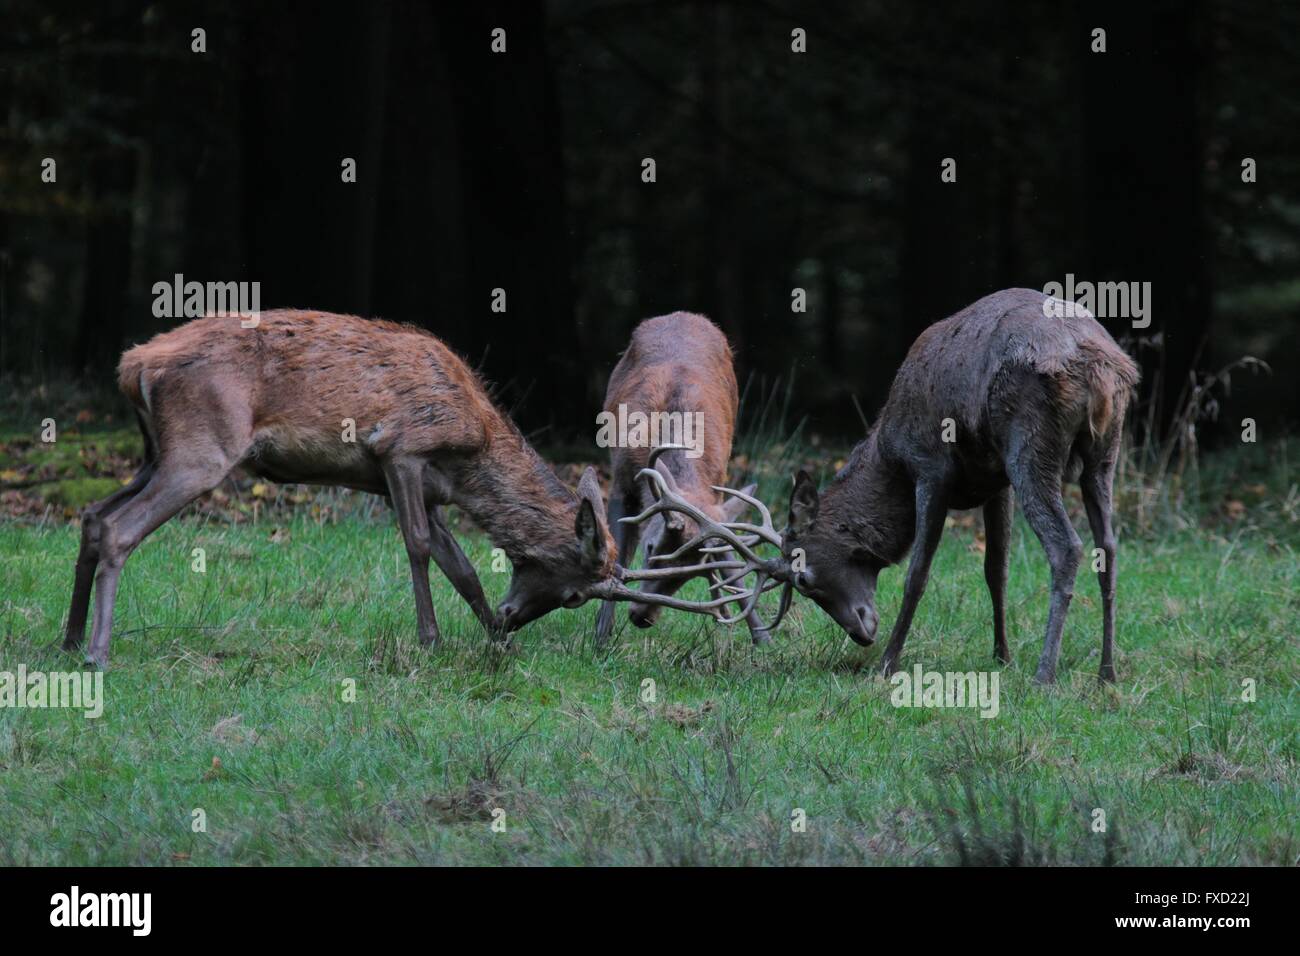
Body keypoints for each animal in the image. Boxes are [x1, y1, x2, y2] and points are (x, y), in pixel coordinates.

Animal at [63, 310, 621, 671]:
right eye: (575, 596)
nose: (509, 622)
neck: (473, 448)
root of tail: (134, 366)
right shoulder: (401, 449)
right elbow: (419, 547)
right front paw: (431, 641)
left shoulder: (430, 488)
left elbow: (461, 567)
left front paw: (498, 648)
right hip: (201, 449)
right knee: (119, 527)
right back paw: (97, 653)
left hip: (155, 452)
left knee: (93, 515)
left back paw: (69, 641)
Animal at [595, 310, 764, 647]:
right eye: (651, 549)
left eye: (690, 574)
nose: (642, 617)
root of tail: (683, 314)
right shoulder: (620, 482)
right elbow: (618, 558)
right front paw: (600, 637)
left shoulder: (716, 490)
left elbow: (727, 555)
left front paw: (761, 635)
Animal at [637, 287, 1138, 686]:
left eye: (805, 579)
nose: (861, 633)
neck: (888, 451)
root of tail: (1103, 367)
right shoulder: (996, 482)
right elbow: (996, 569)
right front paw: (1002, 656)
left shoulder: (931, 465)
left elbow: (917, 572)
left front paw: (889, 663)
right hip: (1103, 455)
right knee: (1108, 548)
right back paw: (1106, 672)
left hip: (1030, 445)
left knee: (1067, 546)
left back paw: (1045, 674)